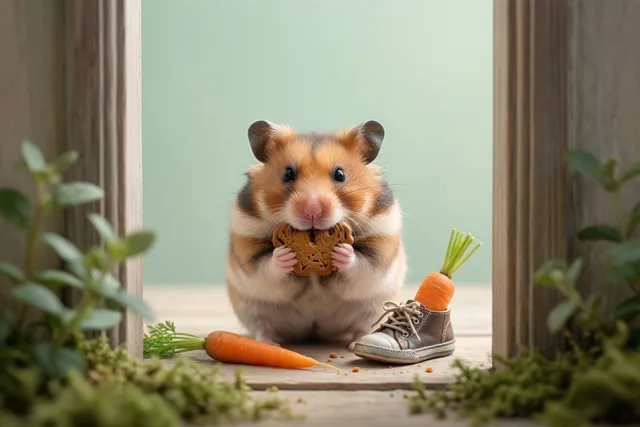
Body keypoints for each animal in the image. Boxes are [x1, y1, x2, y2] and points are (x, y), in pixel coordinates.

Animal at [226, 120, 407, 351]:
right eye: (288, 174)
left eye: (340, 174)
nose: (312, 211)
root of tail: (314, 330)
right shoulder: (247, 245)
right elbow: (266, 265)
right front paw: (285, 254)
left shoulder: (381, 242)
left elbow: (362, 264)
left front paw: (341, 251)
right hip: (252, 308)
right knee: (263, 328)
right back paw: (271, 344)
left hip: (373, 308)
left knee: (362, 327)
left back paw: (357, 343)